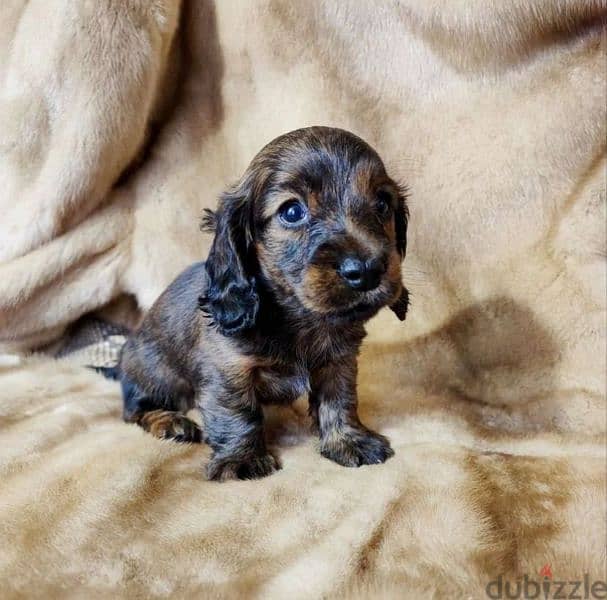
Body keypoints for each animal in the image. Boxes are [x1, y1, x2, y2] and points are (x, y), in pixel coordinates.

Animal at [120, 126, 408, 482]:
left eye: (382, 203)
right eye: (292, 211)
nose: (367, 271)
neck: (299, 320)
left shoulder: (338, 361)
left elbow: (339, 401)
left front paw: (348, 440)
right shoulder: (228, 371)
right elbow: (237, 413)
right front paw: (241, 458)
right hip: (156, 376)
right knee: (136, 410)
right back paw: (170, 422)